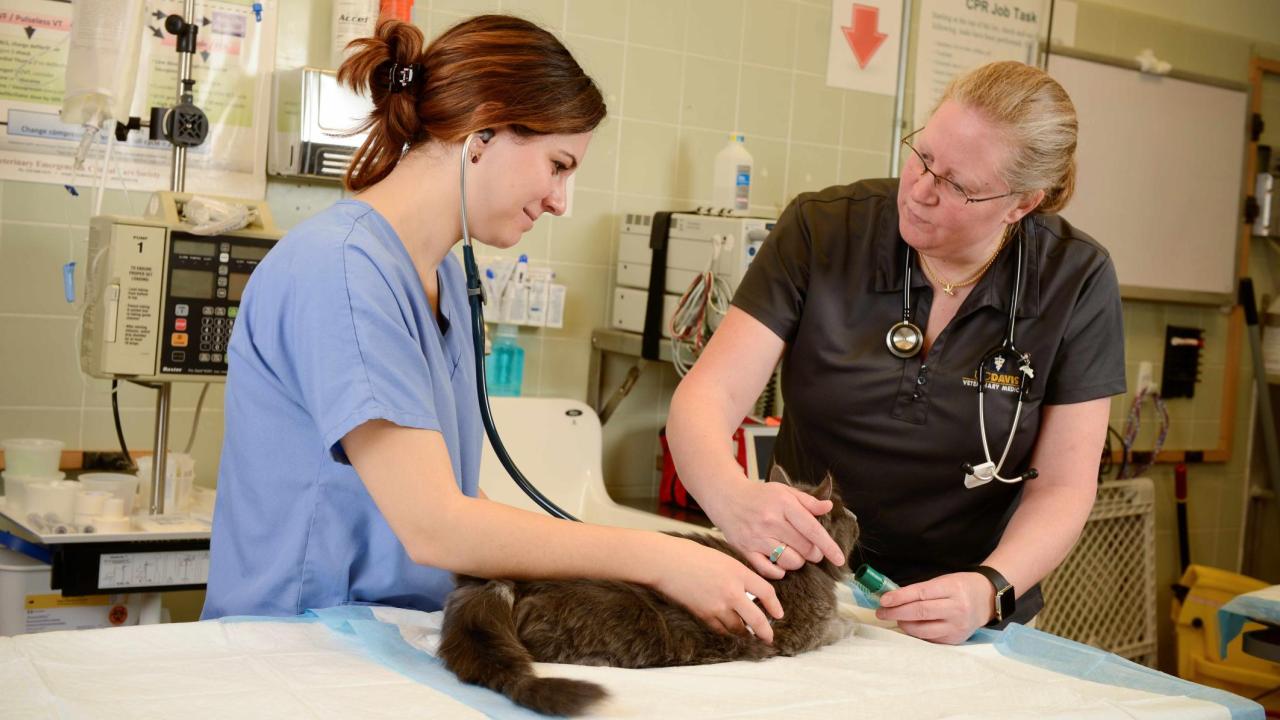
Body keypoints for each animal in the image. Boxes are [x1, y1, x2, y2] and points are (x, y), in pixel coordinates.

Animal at [437, 461, 860, 712]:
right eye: (843, 512)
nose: (857, 517)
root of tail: (506, 583)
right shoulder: (802, 634)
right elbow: (836, 626)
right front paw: (853, 624)